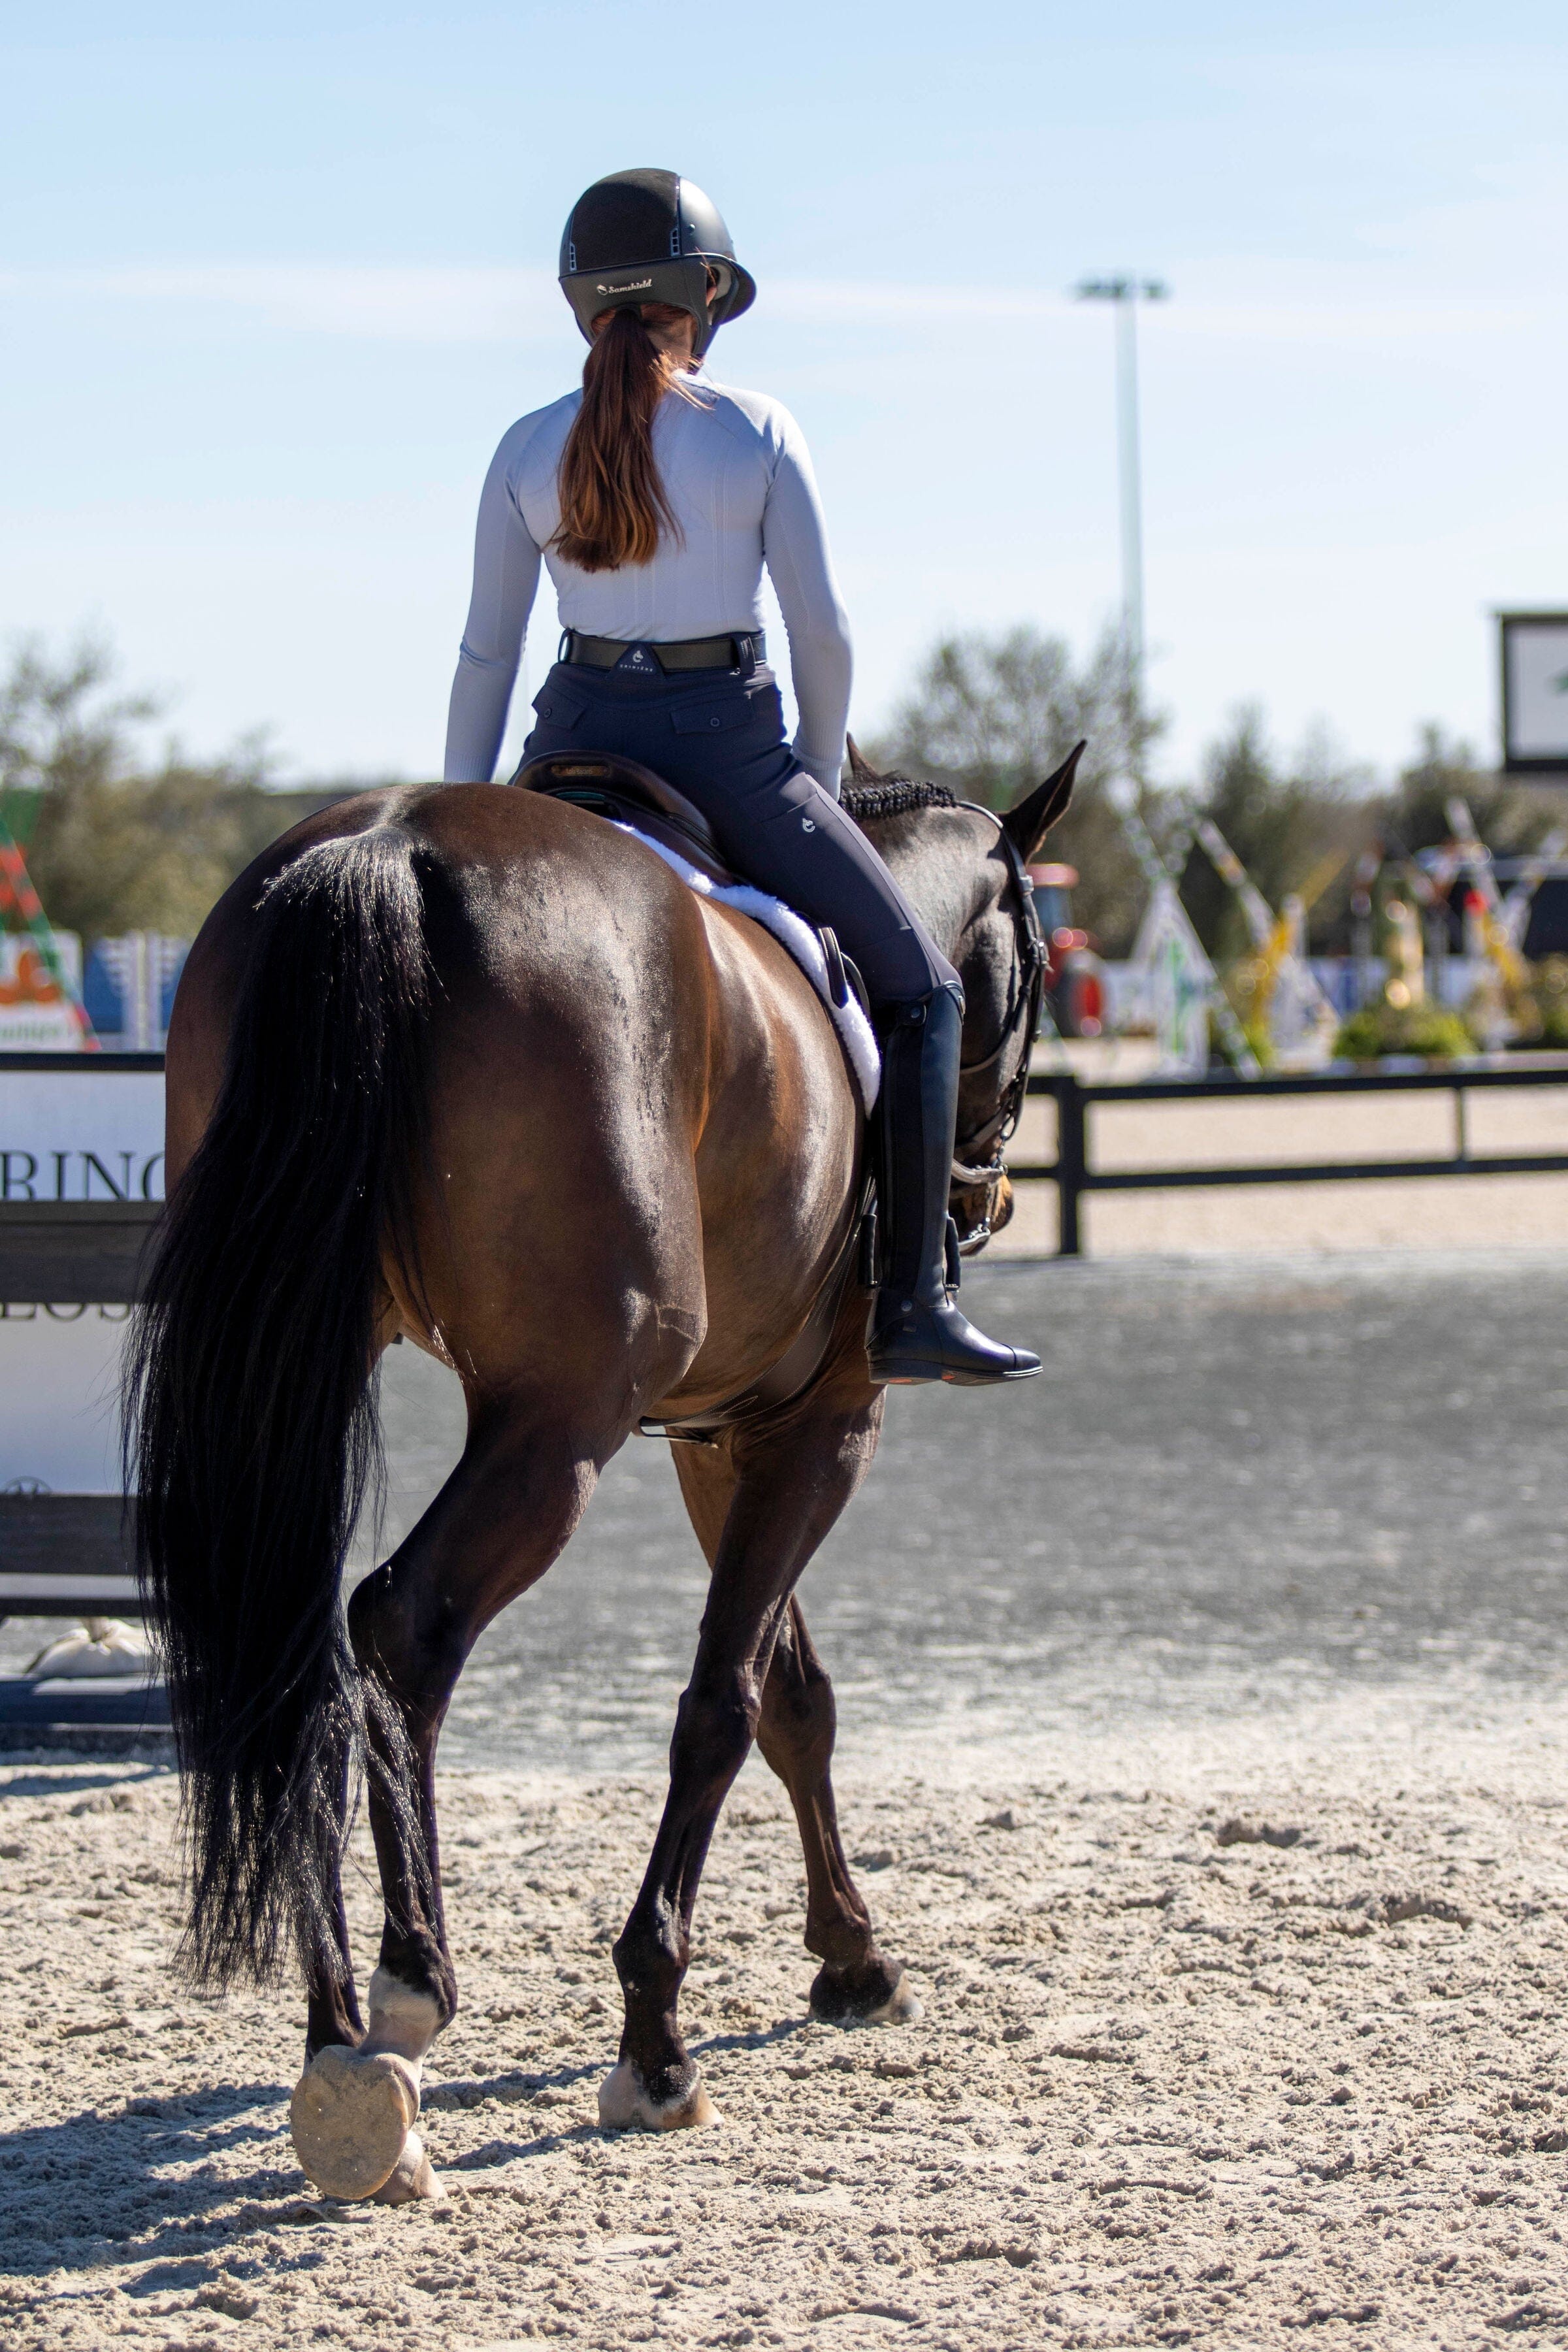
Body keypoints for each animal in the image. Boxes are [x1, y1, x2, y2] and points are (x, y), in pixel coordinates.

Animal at [123, 734, 1086, 2201]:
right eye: (1035, 965)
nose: (986, 1198)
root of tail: (388, 849)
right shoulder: (825, 1426)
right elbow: (724, 1707)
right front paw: (657, 2037)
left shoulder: (721, 1437)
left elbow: (793, 1697)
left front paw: (853, 1959)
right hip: (555, 1426)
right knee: (401, 1622)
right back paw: (409, 1989)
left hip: (305, 1361)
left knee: (304, 1650)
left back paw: (336, 2040)